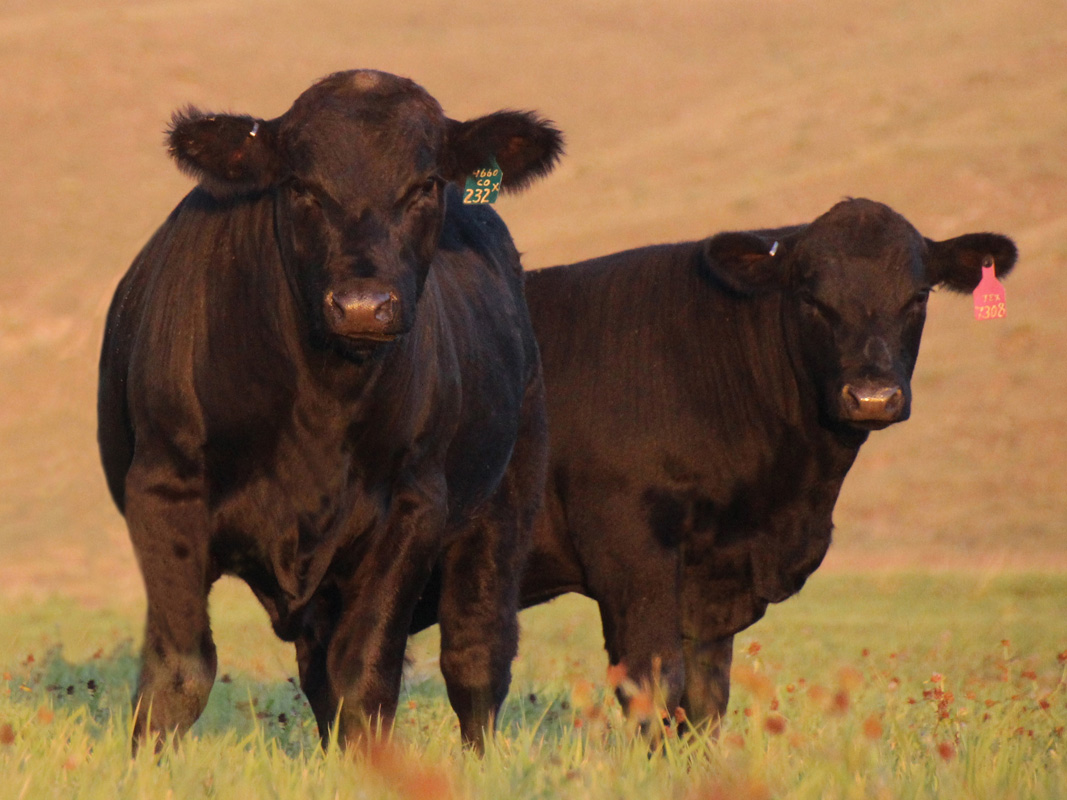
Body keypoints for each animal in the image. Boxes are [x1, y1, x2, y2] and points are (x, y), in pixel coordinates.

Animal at [97, 69, 563, 754]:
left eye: (425, 185)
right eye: (301, 186)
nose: (364, 305)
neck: (321, 407)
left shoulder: (415, 503)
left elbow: (364, 675)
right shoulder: (162, 487)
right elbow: (179, 673)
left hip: (504, 500)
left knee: (476, 657)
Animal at [507, 198, 1016, 732]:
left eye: (918, 296)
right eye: (811, 298)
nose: (873, 396)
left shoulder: (711, 587)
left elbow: (705, 698)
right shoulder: (630, 555)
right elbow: (655, 687)